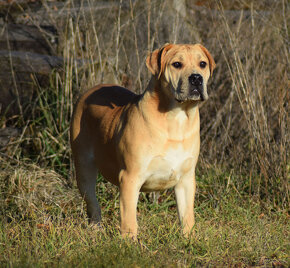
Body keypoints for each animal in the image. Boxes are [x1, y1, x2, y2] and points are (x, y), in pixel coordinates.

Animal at [69, 43, 215, 239]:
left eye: (202, 64)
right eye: (177, 64)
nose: (197, 78)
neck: (176, 118)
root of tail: (90, 91)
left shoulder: (186, 179)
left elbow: (187, 216)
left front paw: (189, 239)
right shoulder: (130, 177)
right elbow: (129, 218)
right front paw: (129, 242)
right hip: (84, 168)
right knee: (92, 202)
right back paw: (96, 228)